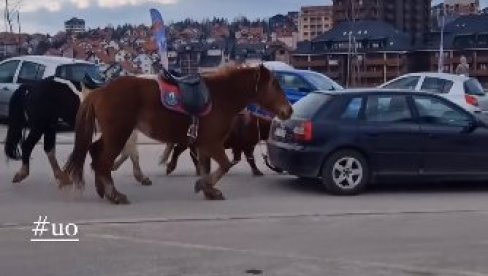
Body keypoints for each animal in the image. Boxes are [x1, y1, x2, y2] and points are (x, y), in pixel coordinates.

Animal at [65, 64, 294, 203]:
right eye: (275, 84)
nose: (289, 110)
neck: (220, 97)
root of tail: (99, 91)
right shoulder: (212, 143)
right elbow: (225, 165)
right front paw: (203, 185)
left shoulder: (203, 145)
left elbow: (207, 167)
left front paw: (209, 190)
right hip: (119, 134)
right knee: (103, 161)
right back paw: (115, 195)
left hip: (114, 134)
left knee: (95, 152)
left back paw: (102, 190)